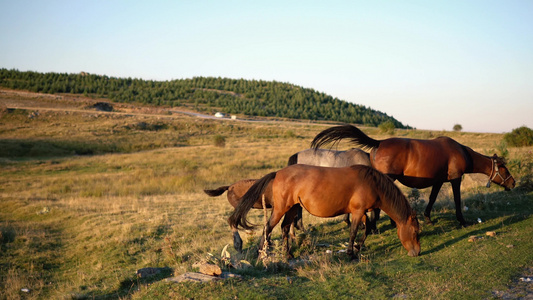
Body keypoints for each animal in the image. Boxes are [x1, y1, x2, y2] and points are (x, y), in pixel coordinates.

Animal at [229, 163, 420, 258]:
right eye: (415, 231)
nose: (417, 252)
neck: (373, 183)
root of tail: (278, 173)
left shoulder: (361, 212)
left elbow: (366, 229)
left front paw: (358, 247)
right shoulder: (358, 212)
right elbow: (354, 231)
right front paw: (351, 253)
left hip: (292, 208)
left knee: (284, 228)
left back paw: (288, 254)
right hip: (281, 208)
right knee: (268, 227)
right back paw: (261, 253)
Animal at [310, 123, 512, 225]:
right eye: (503, 168)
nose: (513, 183)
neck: (461, 152)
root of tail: (379, 143)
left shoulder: (439, 181)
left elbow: (432, 199)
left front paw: (428, 218)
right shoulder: (455, 180)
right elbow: (457, 200)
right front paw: (462, 220)